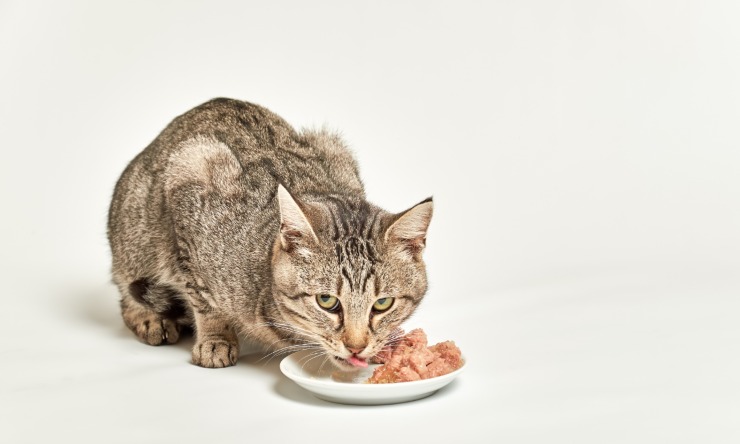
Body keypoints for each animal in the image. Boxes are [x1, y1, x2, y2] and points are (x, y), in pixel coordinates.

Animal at [109, 99, 434, 370]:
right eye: (327, 301)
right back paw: (150, 318)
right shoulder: (190, 178)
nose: (356, 347)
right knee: (125, 290)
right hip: (135, 235)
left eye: (382, 304)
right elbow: (203, 297)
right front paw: (216, 339)